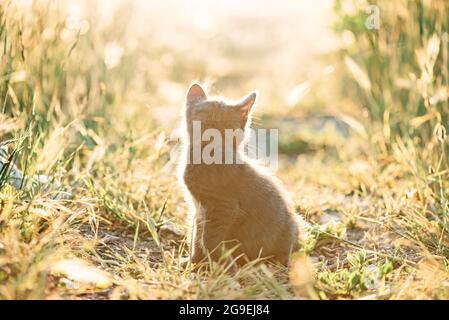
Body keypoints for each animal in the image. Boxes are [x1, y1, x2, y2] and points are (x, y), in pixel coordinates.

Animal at [178, 82, 308, 264]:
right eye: (204, 114)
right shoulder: (199, 208)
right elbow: (197, 233)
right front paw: (194, 261)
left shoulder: (223, 206)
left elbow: (208, 238)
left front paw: (219, 262)